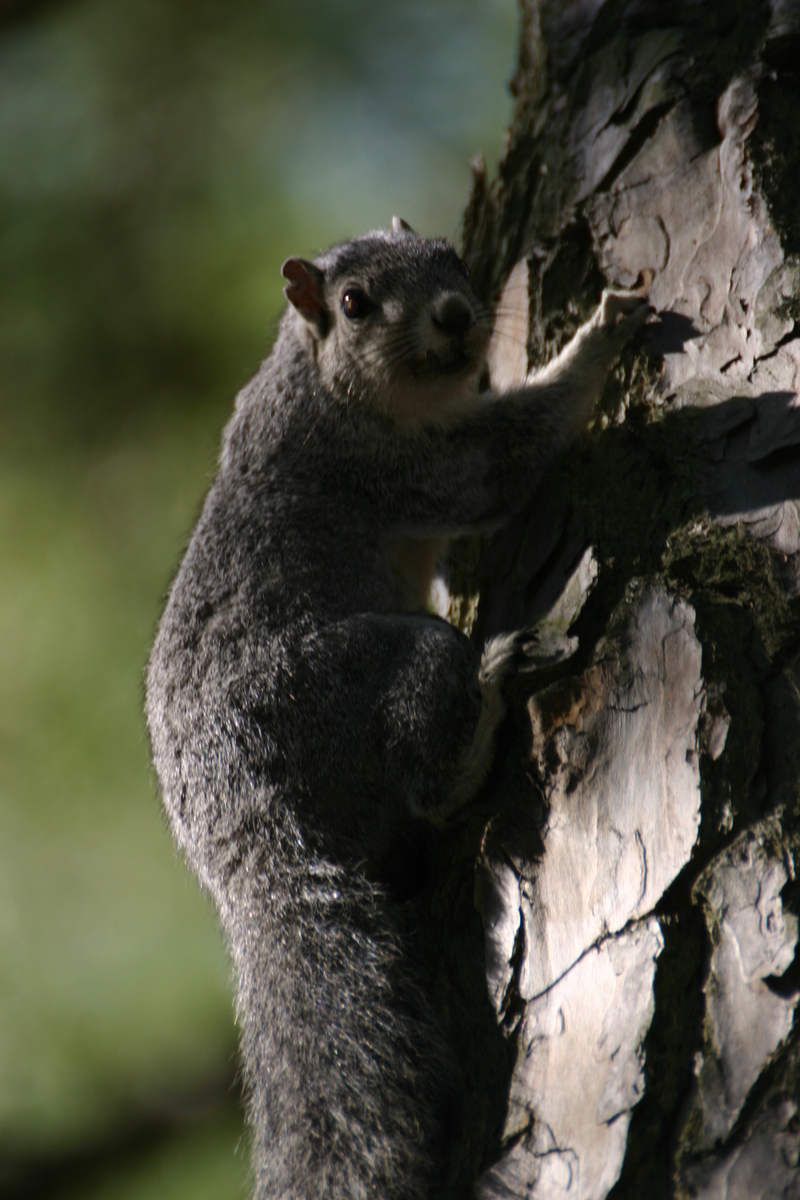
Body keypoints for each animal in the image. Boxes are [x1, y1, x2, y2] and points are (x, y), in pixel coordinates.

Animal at [145, 218, 652, 1200]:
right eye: (354, 303)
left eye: (452, 255)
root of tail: (240, 832)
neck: (316, 378)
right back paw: (489, 696)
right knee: (431, 781)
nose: (456, 316)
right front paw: (599, 338)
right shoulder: (383, 464)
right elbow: (498, 462)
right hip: (365, 675)